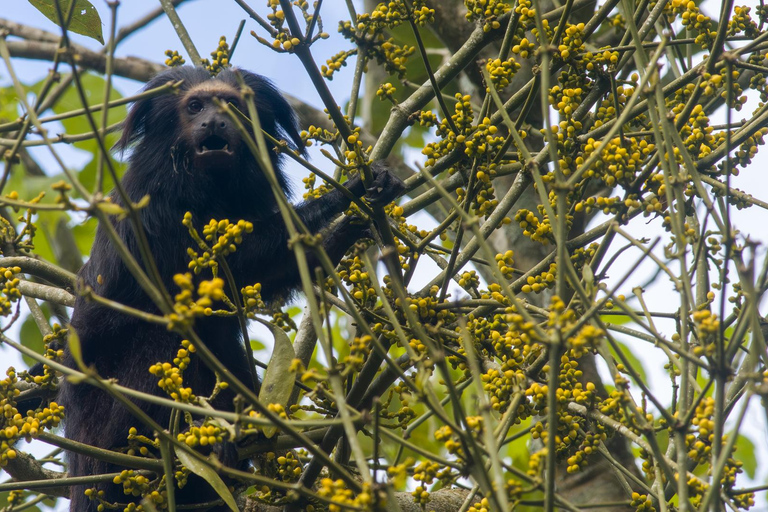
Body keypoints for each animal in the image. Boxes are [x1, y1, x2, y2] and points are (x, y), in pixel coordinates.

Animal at [59, 66, 404, 510]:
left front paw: (351, 224)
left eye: (230, 105)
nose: (213, 122)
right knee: (161, 339)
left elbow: (259, 278)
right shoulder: (154, 203)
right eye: (195, 106)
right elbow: (217, 269)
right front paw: (338, 197)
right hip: (105, 425)